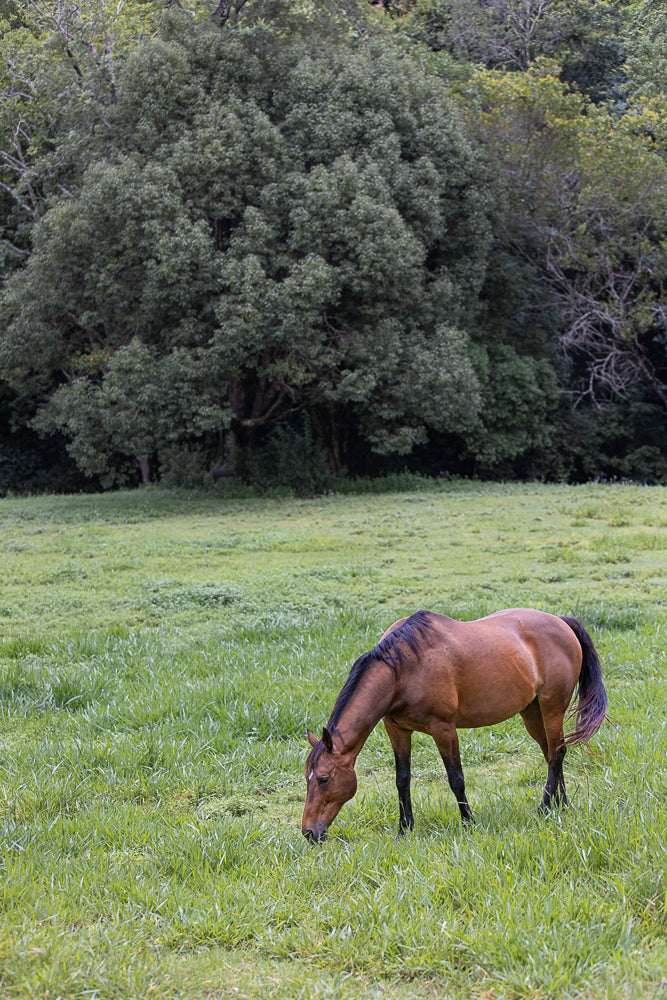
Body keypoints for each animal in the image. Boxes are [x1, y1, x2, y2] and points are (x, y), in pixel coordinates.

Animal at [302, 608, 607, 842]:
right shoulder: (396, 729)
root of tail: (561, 622)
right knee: (552, 753)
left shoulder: (444, 729)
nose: (308, 832)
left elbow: (456, 778)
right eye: (308, 778)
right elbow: (402, 779)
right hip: (532, 712)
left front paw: (468, 824)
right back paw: (560, 806)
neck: (402, 670)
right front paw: (404, 829)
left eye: (324, 779)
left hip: (553, 707)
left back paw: (545, 807)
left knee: (557, 753)